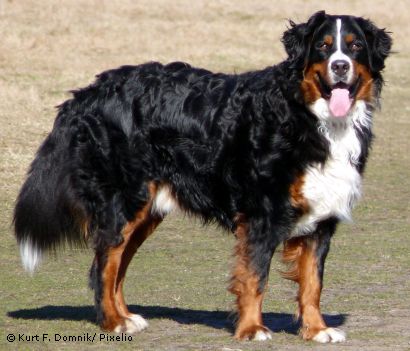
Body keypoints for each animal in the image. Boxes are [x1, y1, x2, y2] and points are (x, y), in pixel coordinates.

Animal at [13, 10, 390, 344]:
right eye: (323, 47)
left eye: (355, 46)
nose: (339, 66)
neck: (312, 117)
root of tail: (86, 94)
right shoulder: (262, 214)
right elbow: (255, 277)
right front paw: (251, 329)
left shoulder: (321, 220)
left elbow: (312, 284)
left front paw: (316, 330)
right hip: (124, 202)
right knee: (103, 266)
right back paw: (112, 323)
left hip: (146, 211)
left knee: (118, 265)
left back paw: (126, 316)